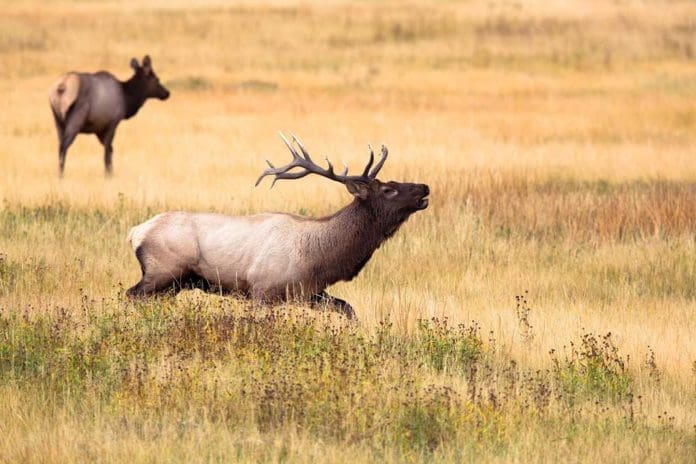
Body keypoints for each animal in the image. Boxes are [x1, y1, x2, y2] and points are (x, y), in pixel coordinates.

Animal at [126, 134, 430, 319]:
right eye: (389, 189)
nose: (424, 187)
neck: (319, 258)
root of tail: (135, 233)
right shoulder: (262, 290)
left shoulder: (310, 293)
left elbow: (348, 309)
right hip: (163, 271)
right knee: (130, 294)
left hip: (174, 284)